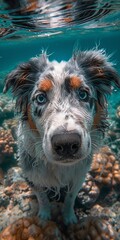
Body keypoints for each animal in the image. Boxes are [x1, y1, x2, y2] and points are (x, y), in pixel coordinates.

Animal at [3, 49, 119, 224]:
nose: (66, 144)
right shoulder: (32, 175)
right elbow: (42, 198)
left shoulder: (79, 175)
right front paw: (44, 217)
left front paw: (69, 217)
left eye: (83, 94)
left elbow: (70, 198)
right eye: (40, 98)